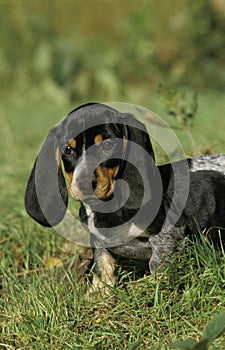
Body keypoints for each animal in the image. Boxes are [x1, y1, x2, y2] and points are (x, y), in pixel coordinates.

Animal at [24, 103, 225, 292]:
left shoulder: (169, 234)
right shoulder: (98, 241)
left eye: (108, 145)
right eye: (67, 149)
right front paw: (98, 294)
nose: (85, 184)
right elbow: (102, 267)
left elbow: (159, 266)